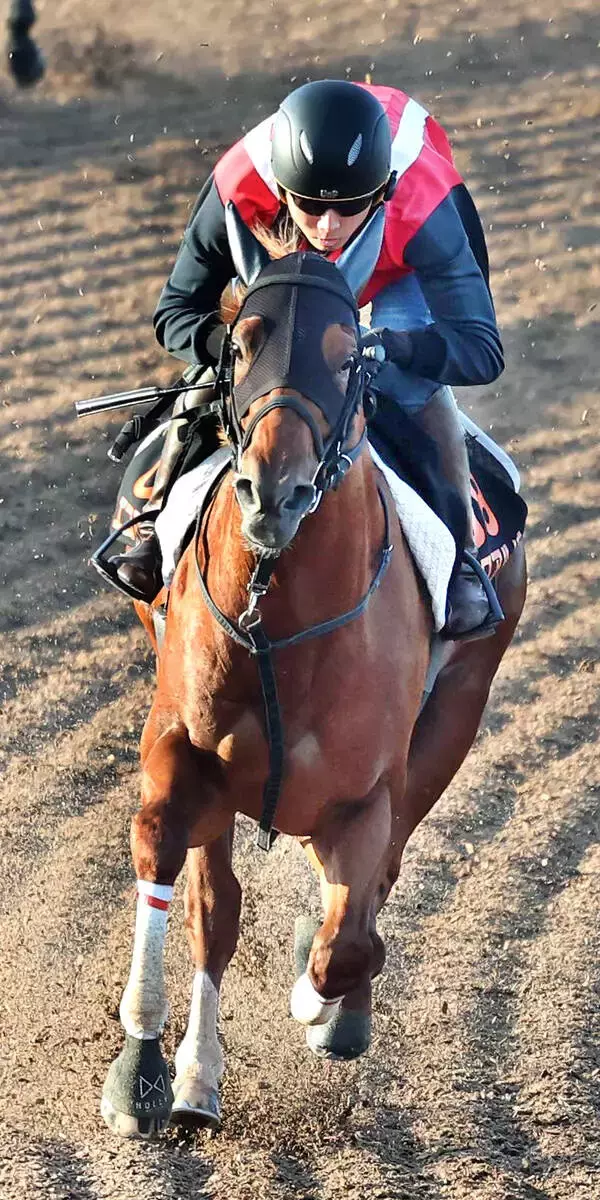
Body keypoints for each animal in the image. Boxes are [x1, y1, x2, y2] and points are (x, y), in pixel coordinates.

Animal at [100, 205, 527, 1137]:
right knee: (216, 909)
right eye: (242, 340)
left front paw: (317, 1001)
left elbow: (348, 938)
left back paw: (335, 1008)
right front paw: (148, 1070)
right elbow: (177, 876)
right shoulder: (184, 754)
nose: (274, 493)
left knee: (372, 892)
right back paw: (197, 1074)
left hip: (454, 718)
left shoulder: (369, 792)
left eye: (347, 355)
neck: (282, 620)